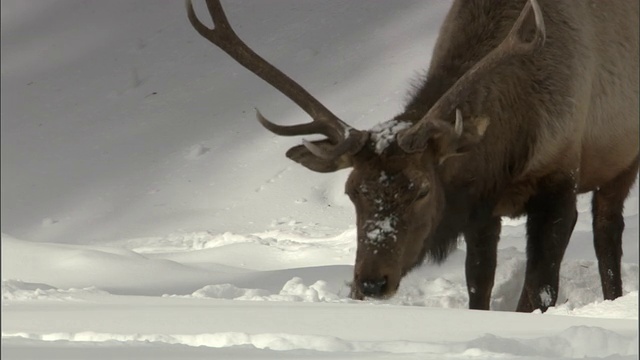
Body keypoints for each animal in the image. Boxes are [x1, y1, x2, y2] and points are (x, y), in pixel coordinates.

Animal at [186, 0, 640, 310]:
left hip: (622, 161)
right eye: (352, 191)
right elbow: (478, 287)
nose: (370, 283)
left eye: (421, 189)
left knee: (607, 232)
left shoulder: (559, 179)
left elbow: (539, 293)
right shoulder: (480, 207)